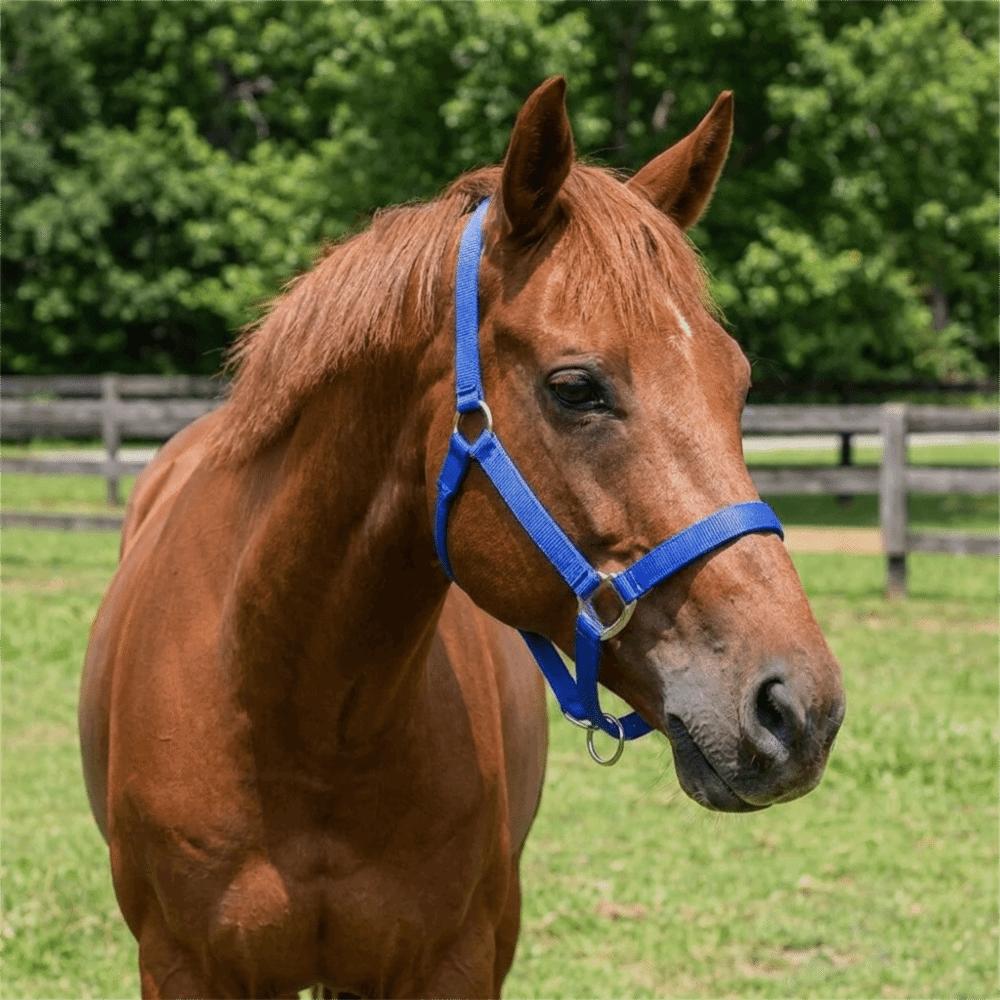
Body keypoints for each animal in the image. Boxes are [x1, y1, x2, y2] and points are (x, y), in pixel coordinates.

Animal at [79, 76, 845, 998]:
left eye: (738, 384)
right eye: (576, 388)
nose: (798, 708)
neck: (300, 721)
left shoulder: (461, 959)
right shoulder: (183, 967)